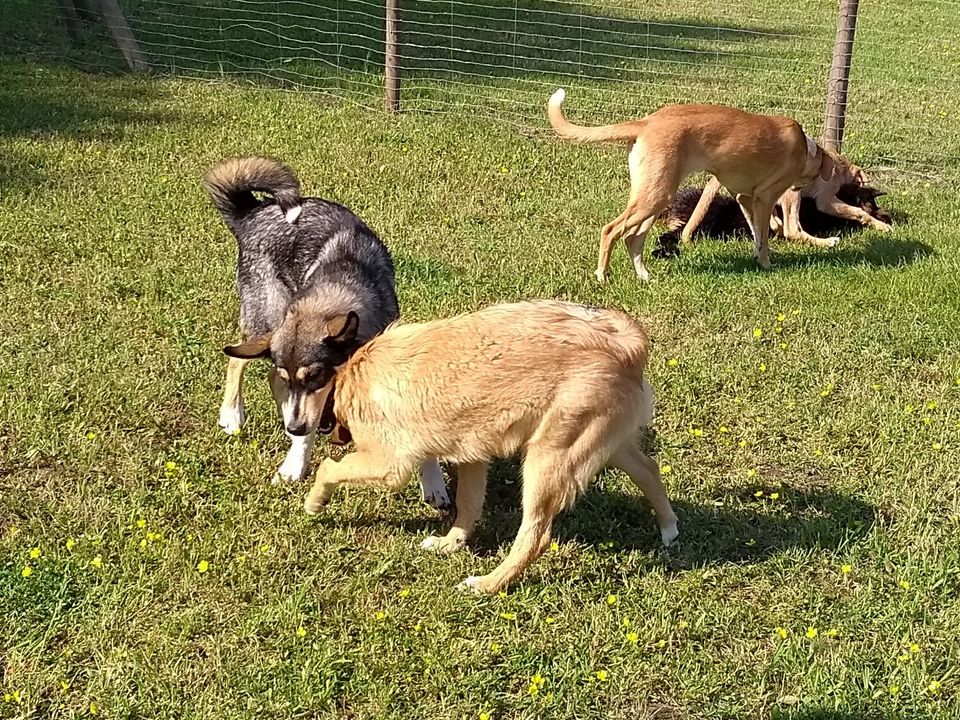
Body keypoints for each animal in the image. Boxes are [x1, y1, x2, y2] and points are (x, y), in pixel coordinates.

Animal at [304, 300, 680, 592]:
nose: (295, 428)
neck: (350, 371)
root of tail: (625, 343)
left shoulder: (389, 465)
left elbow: (329, 468)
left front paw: (315, 501)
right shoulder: (473, 457)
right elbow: (468, 506)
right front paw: (450, 543)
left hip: (547, 461)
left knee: (536, 538)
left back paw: (488, 584)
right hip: (603, 446)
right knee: (649, 470)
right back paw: (669, 528)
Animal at [552, 88, 836, 282]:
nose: (799, 190)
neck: (806, 149)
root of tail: (647, 122)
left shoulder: (744, 198)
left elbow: (759, 232)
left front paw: (761, 255)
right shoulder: (764, 197)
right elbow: (765, 232)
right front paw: (766, 262)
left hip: (655, 195)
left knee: (633, 238)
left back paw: (644, 276)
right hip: (654, 196)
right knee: (611, 230)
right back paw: (603, 274)